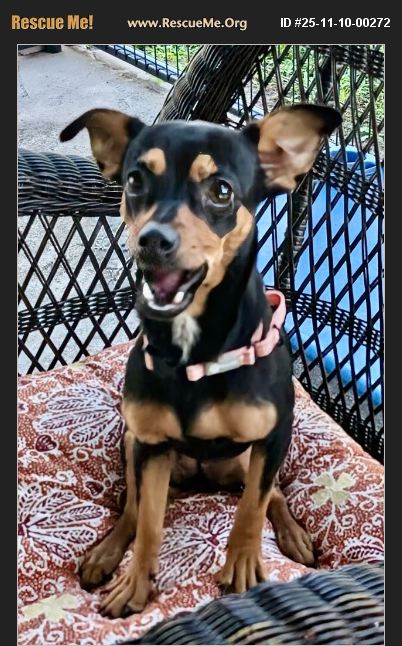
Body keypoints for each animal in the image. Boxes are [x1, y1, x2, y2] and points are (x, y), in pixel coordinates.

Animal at [60, 103, 341, 618]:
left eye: (221, 190)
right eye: (135, 180)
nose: (153, 241)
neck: (195, 351)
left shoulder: (273, 436)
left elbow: (252, 509)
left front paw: (244, 567)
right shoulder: (151, 446)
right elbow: (149, 525)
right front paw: (134, 582)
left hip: (254, 455)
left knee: (273, 493)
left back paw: (292, 532)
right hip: (132, 442)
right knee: (132, 506)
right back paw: (108, 551)